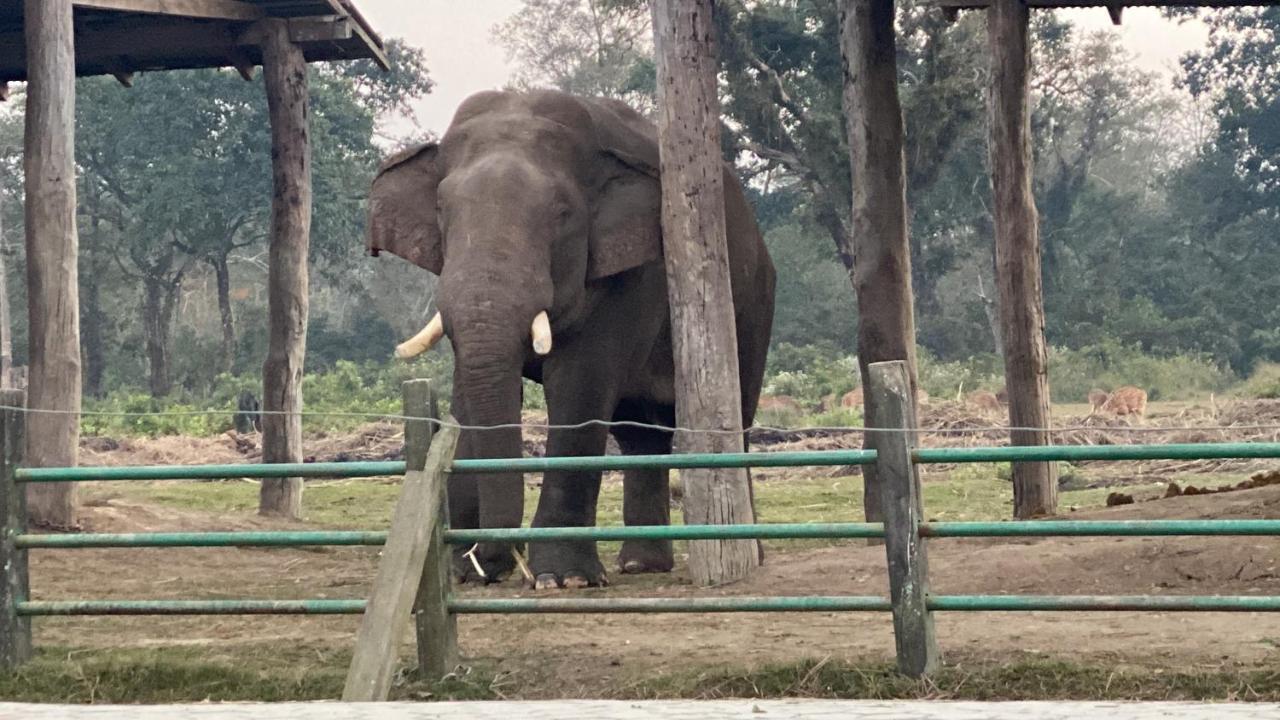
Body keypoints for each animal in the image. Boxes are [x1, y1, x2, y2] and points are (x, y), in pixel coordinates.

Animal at [366, 87, 773, 586]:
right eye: (442, 210)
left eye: (562, 214)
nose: (494, 560)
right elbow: (467, 387)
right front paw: (465, 571)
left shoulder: (633, 273)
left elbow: (578, 384)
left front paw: (564, 579)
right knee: (639, 433)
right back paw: (640, 564)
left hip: (751, 307)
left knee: (735, 417)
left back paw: (746, 553)